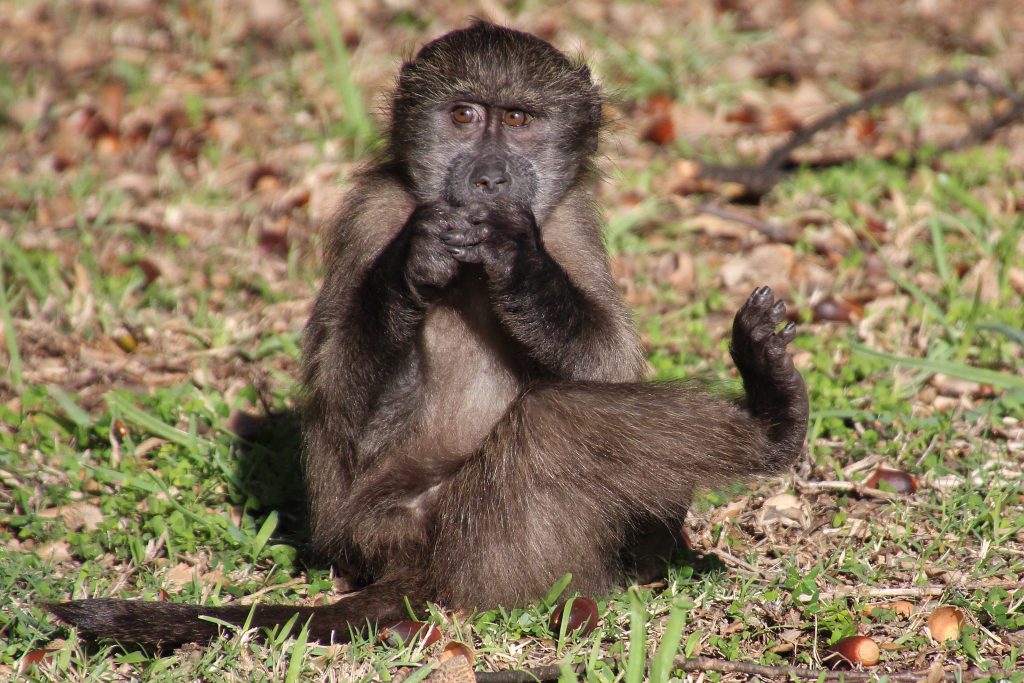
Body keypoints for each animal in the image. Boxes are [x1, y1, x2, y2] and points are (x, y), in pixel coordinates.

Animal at [47, 21, 809, 646]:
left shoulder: (569, 224)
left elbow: (612, 362)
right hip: (437, 538)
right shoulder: (372, 213)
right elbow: (342, 407)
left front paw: (519, 265)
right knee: (556, 425)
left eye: (519, 119)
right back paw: (772, 423)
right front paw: (411, 267)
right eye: (464, 115)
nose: (489, 179)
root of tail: (405, 563)